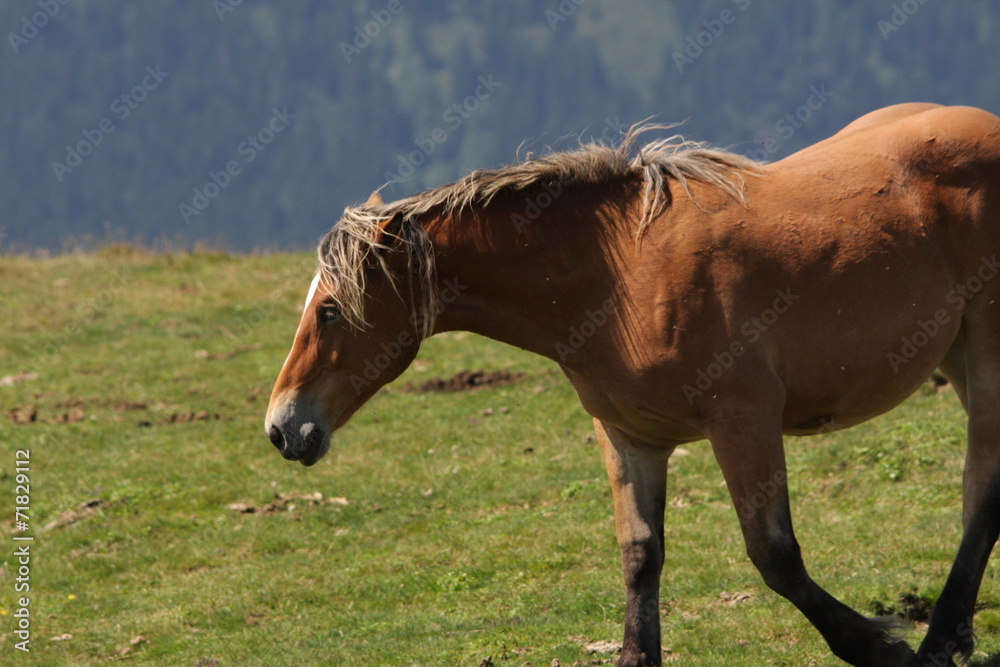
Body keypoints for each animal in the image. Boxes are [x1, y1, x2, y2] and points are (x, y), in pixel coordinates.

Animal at [264, 103, 1000, 667]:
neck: (615, 278)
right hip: (959, 357)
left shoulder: (744, 420)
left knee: (983, 489)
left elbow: (775, 555)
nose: (282, 428)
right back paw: (953, 634)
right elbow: (640, 555)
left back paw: (937, 639)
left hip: (987, 356)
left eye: (329, 311)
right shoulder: (629, 436)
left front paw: (878, 646)